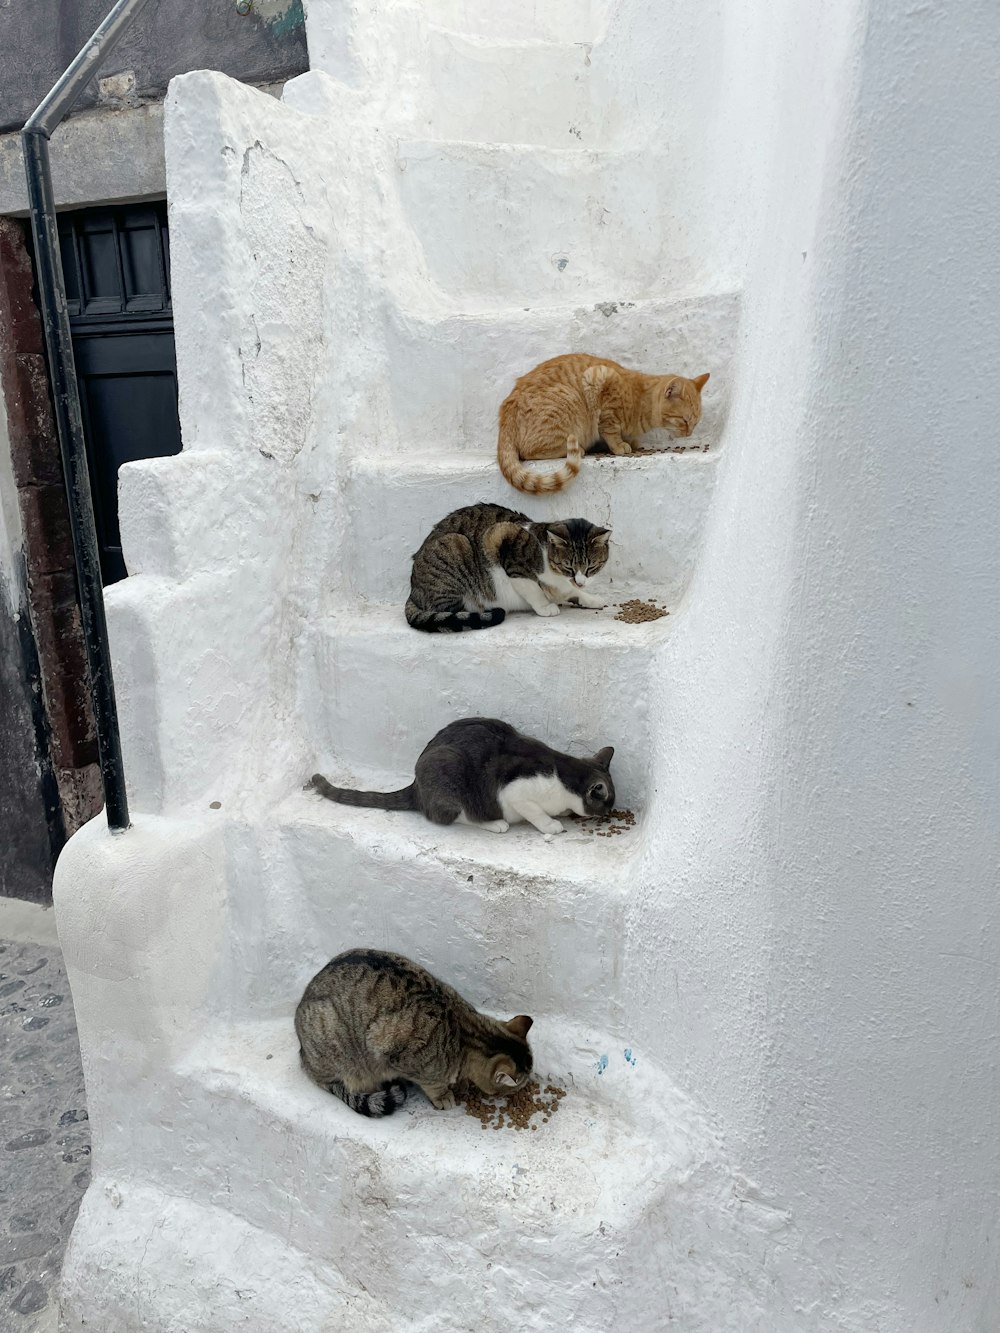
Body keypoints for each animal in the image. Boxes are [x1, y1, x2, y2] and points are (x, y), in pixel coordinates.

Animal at [296, 949, 536, 1114]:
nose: (519, 1093)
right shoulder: (390, 1050)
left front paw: (462, 1084)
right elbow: (433, 1082)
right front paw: (444, 1094)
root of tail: (303, 1056)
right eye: (514, 1089)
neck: (465, 1034)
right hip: (339, 1048)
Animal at [309, 719, 616, 831]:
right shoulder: (516, 792)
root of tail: (415, 786)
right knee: (454, 816)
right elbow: (535, 812)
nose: (609, 813)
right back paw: (495, 824)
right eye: (607, 802)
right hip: (449, 769)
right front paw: (552, 824)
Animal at [405, 503, 610, 639]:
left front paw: (590, 598)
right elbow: (534, 589)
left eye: (591, 567)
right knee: (448, 610)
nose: (580, 581)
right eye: (568, 567)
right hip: (455, 545)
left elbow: (571, 592)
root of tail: (413, 591)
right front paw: (546, 606)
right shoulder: (500, 538)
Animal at [501, 354, 714, 495]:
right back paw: (578, 449)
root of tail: (506, 408)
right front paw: (620, 445)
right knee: (530, 451)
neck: (640, 399)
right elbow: (610, 430)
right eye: (685, 421)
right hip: (567, 403)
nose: (689, 434)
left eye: (695, 422)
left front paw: (632, 441)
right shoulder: (600, 382)